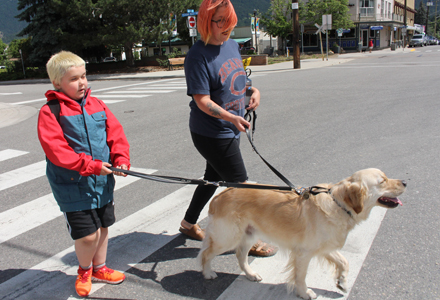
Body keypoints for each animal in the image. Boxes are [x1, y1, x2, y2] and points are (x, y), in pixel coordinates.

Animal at [199, 168, 406, 298]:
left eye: (385, 177)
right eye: (382, 181)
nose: (404, 182)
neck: (339, 204)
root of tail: (219, 195)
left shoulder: (325, 246)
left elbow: (344, 261)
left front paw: (342, 282)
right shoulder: (304, 252)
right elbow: (301, 276)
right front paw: (304, 293)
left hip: (249, 234)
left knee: (240, 255)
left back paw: (251, 274)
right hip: (227, 236)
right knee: (207, 253)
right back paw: (208, 273)